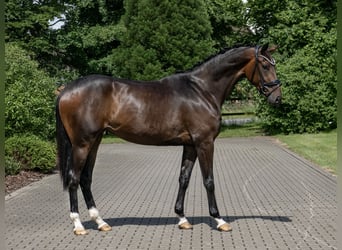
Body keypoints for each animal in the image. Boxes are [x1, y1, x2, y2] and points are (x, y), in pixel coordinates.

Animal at [56, 44, 280, 234]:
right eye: (265, 65)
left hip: (94, 143)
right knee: (74, 178)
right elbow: (209, 180)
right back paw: (78, 225)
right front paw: (219, 220)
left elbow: (184, 179)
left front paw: (182, 218)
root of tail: (66, 90)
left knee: (86, 179)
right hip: (82, 144)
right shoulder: (204, 143)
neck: (202, 90)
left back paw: (100, 222)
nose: (277, 97)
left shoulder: (190, 145)